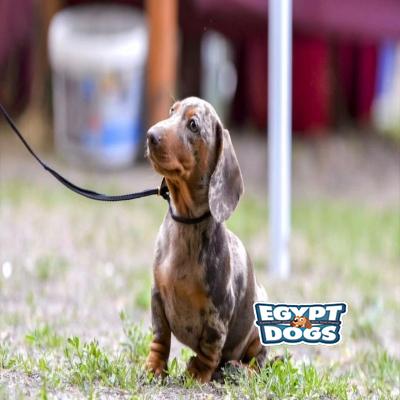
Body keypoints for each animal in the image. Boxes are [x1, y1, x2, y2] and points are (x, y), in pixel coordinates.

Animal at [145, 97, 267, 383]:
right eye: (171, 111)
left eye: (193, 125)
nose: (150, 135)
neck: (185, 222)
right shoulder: (157, 296)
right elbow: (161, 337)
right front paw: (154, 367)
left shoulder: (217, 313)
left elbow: (209, 348)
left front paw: (197, 372)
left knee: (259, 360)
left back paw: (238, 368)